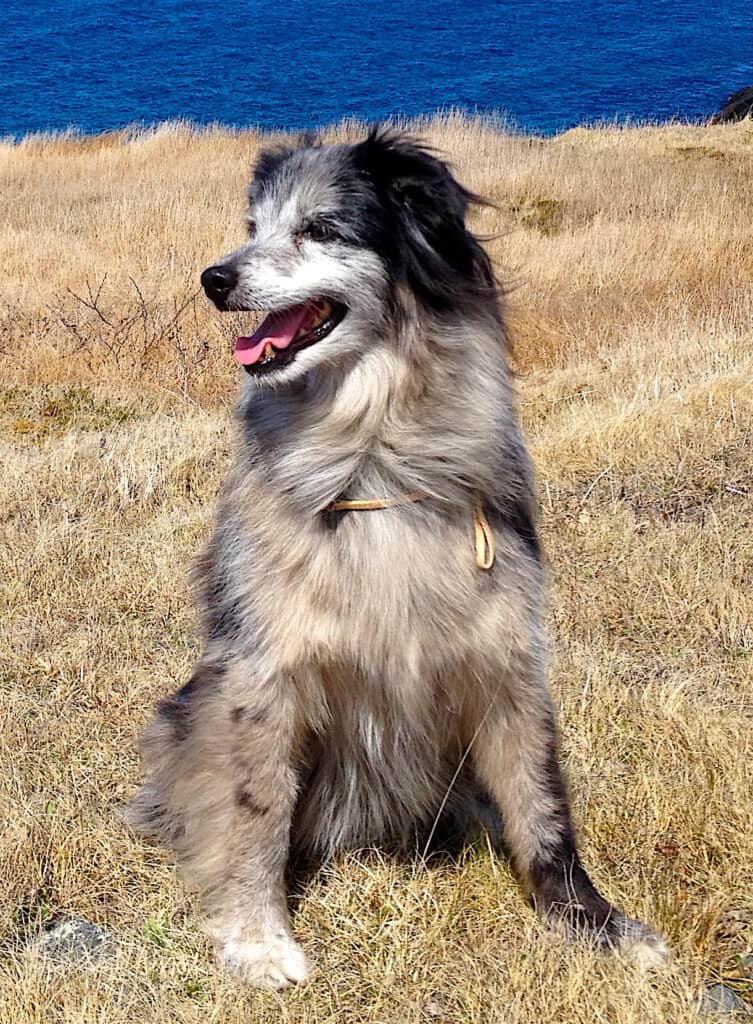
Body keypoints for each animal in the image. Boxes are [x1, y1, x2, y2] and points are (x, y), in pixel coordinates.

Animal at [126, 123, 667, 987]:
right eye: (252, 228)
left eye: (318, 228)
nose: (213, 278)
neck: (372, 457)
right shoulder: (260, 674)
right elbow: (254, 811)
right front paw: (258, 938)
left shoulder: (507, 654)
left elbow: (543, 807)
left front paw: (593, 923)